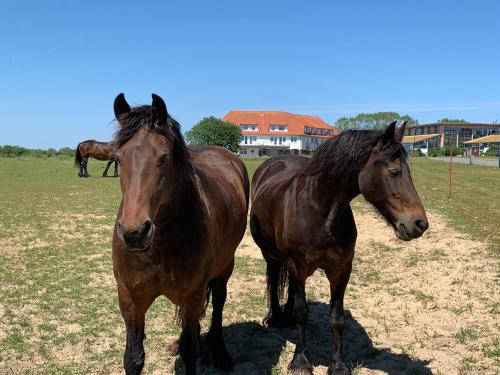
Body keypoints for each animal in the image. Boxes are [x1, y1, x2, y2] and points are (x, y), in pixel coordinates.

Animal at [111, 92, 248, 374]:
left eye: (164, 158)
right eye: (118, 158)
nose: (134, 232)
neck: (161, 245)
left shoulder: (192, 294)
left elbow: (190, 351)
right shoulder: (129, 298)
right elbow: (134, 357)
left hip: (224, 266)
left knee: (218, 301)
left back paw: (218, 351)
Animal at [252, 122, 428, 374]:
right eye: (394, 171)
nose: (420, 224)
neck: (320, 212)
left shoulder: (341, 270)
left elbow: (337, 318)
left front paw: (337, 364)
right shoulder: (297, 266)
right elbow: (301, 312)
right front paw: (301, 361)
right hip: (271, 256)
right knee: (274, 278)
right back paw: (275, 317)